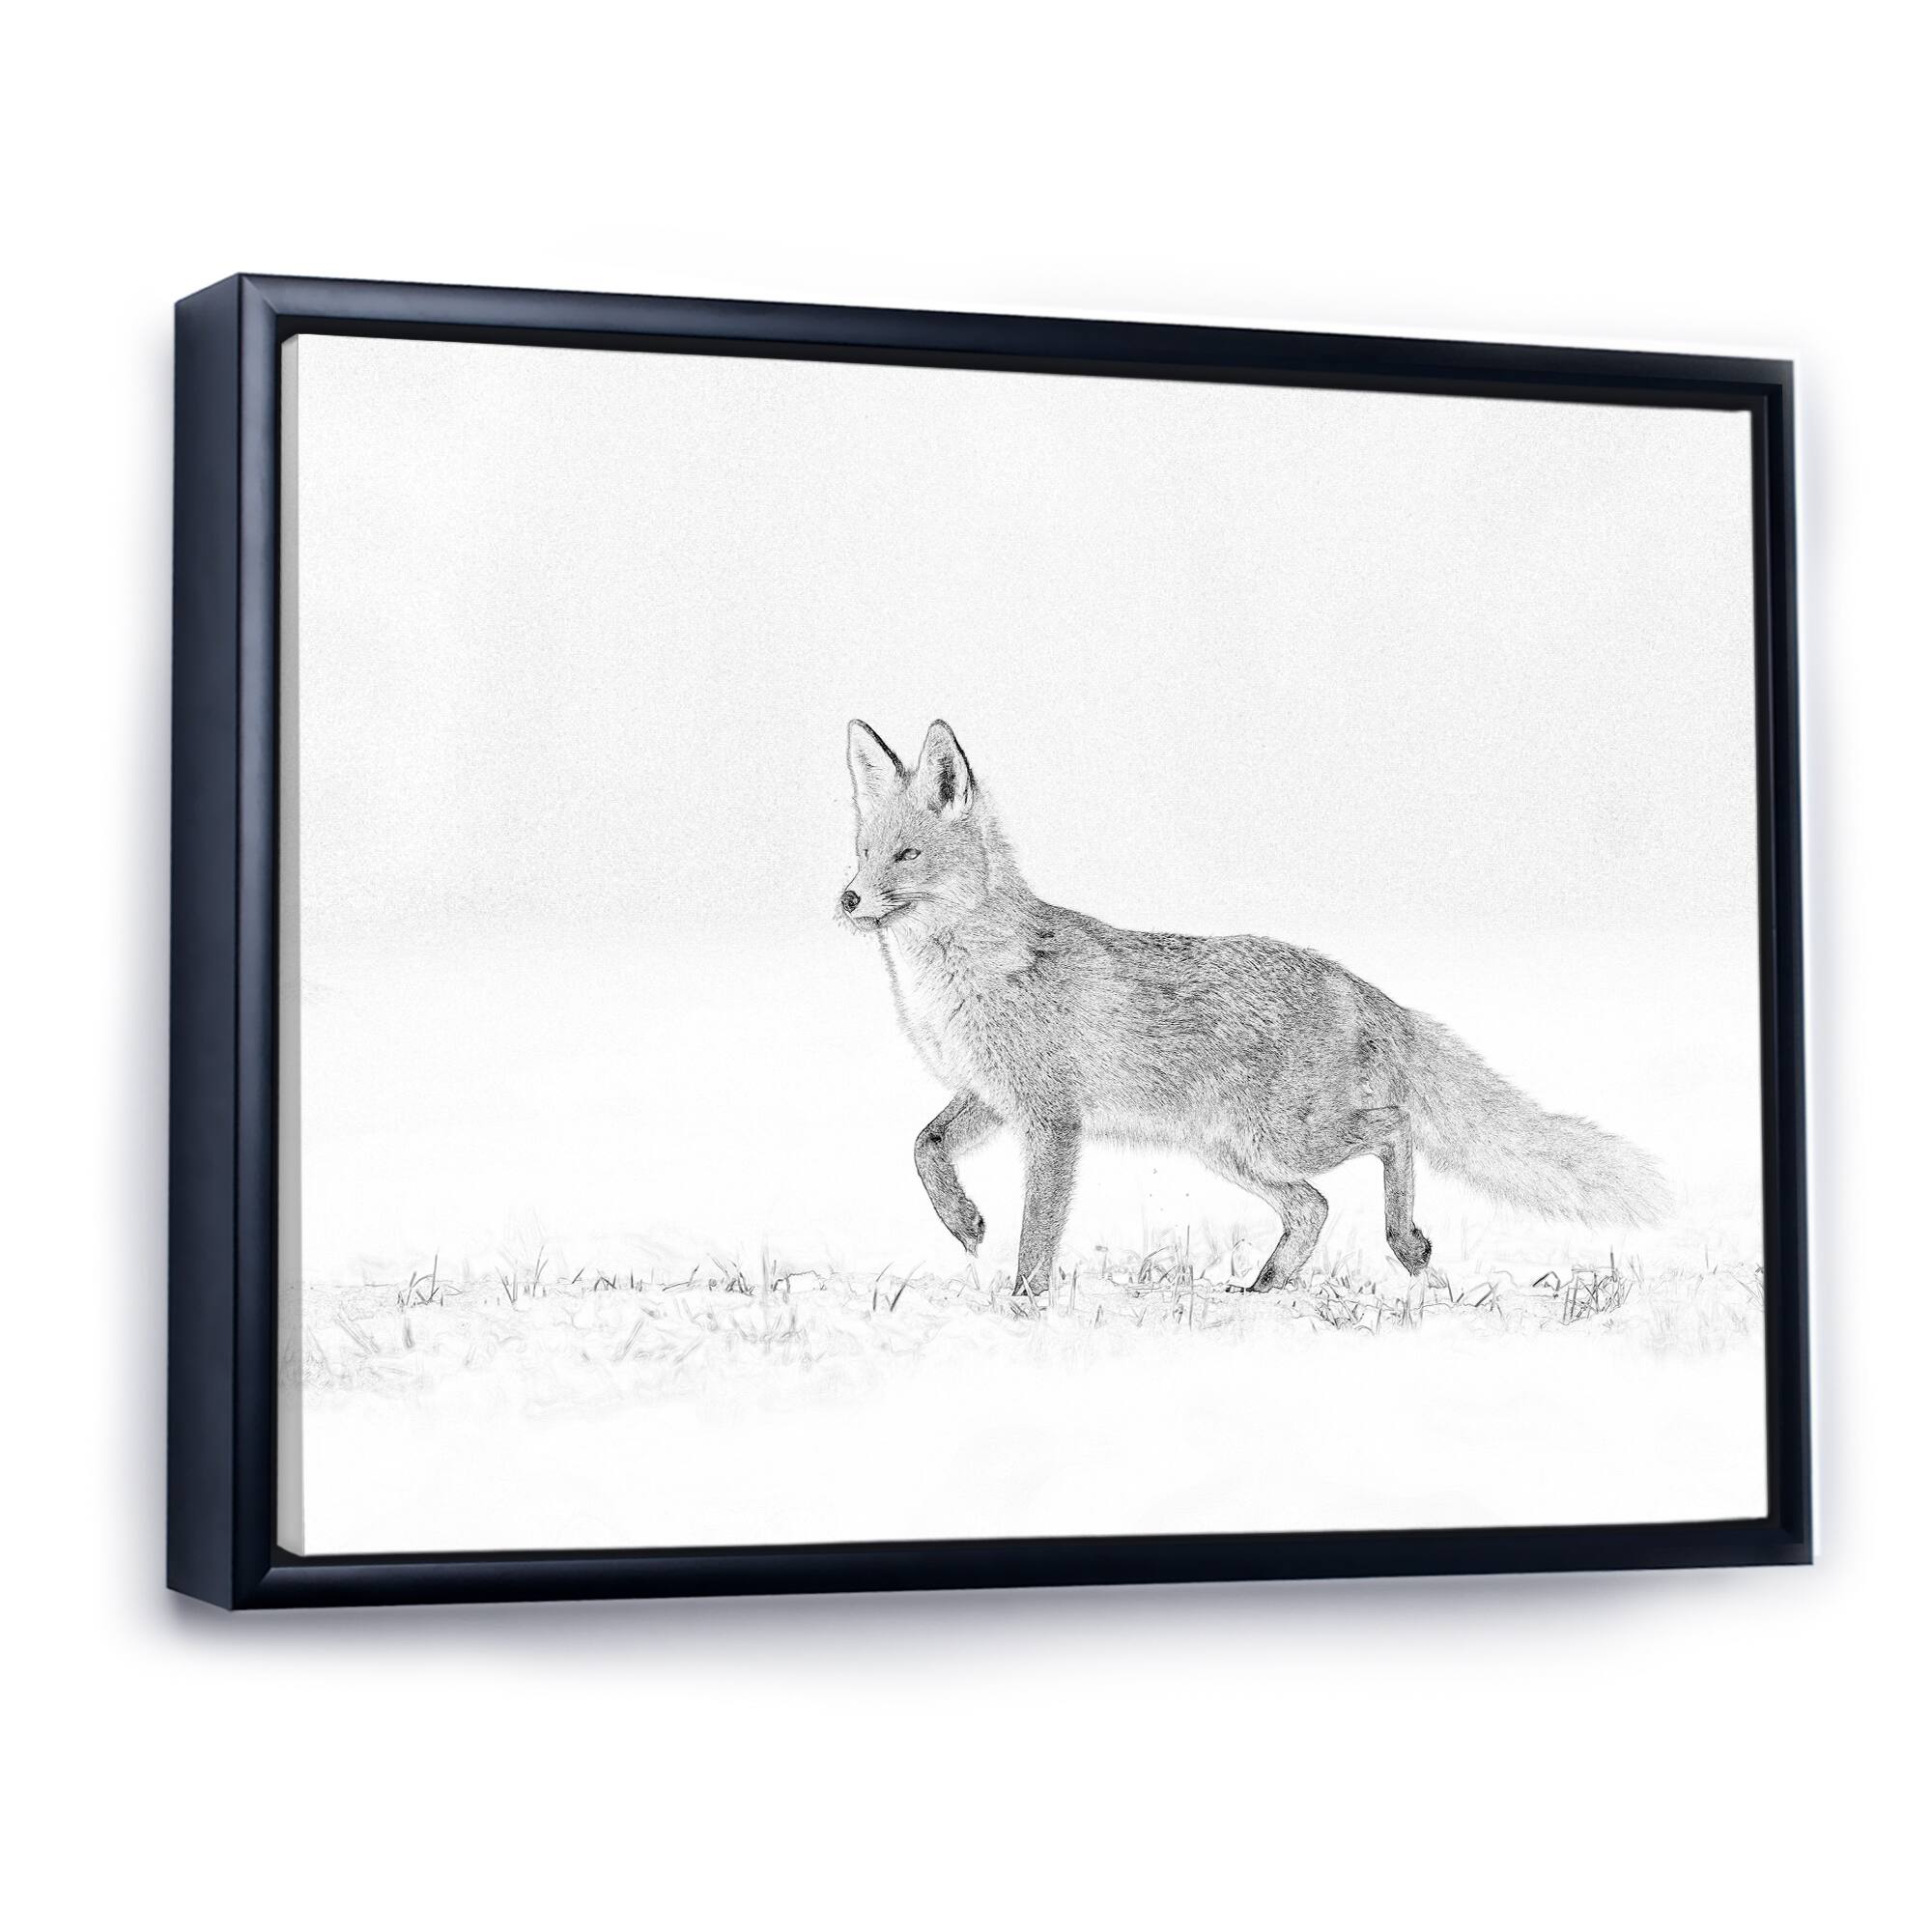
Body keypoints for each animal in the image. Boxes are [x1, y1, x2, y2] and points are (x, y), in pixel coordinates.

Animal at [839, 718, 1668, 1303]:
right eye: (862, 852)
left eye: (907, 857)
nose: (846, 898)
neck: (964, 978)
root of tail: (1362, 985)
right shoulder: (989, 1095)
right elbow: (923, 1147)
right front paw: (963, 1221)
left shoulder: (1052, 1120)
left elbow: (1037, 1237)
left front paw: (1024, 1307)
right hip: (1238, 1152)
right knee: (1314, 1207)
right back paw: (1266, 1289)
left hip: (1281, 1137)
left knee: (1393, 1128)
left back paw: (1405, 1243)